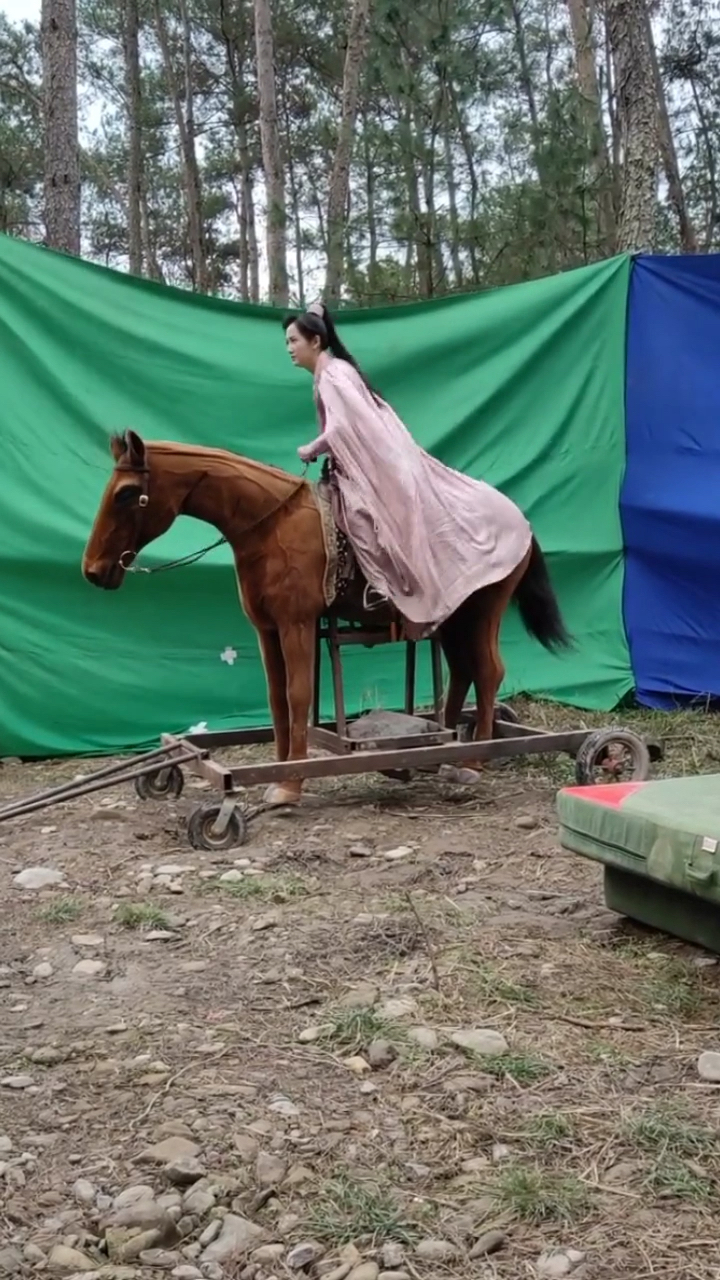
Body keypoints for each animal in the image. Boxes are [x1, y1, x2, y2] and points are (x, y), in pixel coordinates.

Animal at [82, 429, 570, 806]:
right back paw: (445, 746)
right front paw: (280, 769)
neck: (271, 526)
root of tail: (520, 521)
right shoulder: (267, 630)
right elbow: (277, 699)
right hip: (453, 620)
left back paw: (472, 761)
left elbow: (298, 696)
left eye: (127, 494)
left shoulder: (297, 625)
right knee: (464, 672)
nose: (93, 570)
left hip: (483, 612)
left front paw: (290, 785)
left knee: (488, 671)